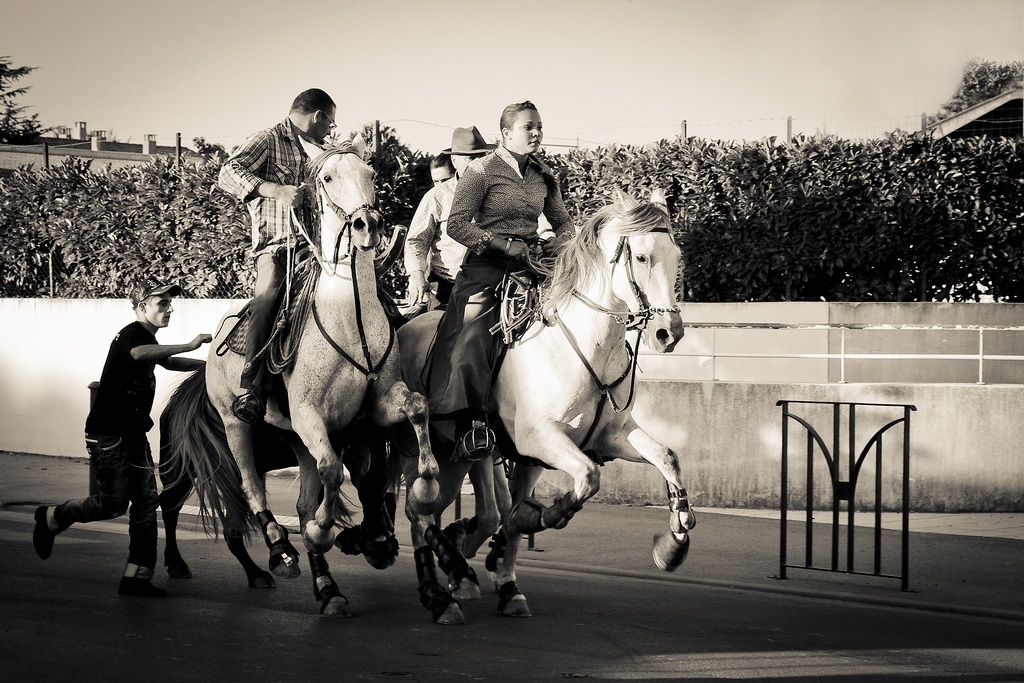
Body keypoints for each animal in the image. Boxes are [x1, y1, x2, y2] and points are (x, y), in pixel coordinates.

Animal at [163, 136, 440, 618]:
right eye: (326, 177)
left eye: (371, 173)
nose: (367, 224)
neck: (350, 317)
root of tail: (212, 350)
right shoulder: (312, 415)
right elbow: (332, 471)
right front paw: (322, 533)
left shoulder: (377, 405)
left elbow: (417, 409)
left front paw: (424, 486)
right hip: (236, 424)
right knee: (252, 488)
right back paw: (280, 550)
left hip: (293, 437)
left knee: (303, 498)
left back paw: (327, 587)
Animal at [391, 189, 696, 622]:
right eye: (640, 257)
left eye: (676, 254)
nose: (668, 333)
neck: (585, 345)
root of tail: (405, 327)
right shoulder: (538, 438)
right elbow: (584, 479)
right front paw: (541, 516)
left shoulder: (607, 437)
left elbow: (667, 456)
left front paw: (674, 540)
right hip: (418, 451)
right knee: (418, 511)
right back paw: (444, 589)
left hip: (460, 458)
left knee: (440, 509)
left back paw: (460, 566)